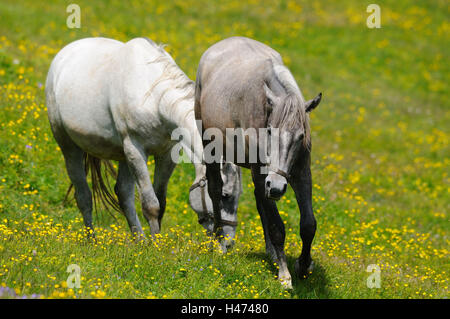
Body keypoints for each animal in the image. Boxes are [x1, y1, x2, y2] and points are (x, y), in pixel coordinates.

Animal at [45, 36, 241, 240]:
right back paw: (92, 240)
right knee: (83, 196)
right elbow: (151, 205)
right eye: (224, 195)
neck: (154, 97)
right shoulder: (136, 150)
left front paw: (157, 241)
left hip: (123, 155)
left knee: (123, 193)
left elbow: (160, 202)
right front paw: (155, 245)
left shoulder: (166, 154)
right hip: (69, 147)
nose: (228, 240)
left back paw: (139, 239)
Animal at [195, 36, 322, 288]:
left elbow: (308, 225)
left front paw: (303, 265)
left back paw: (271, 253)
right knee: (215, 189)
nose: (277, 187)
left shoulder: (302, 174)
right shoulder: (262, 174)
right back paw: (219, 241)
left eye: (301, 136)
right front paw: (285, 275)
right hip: (210, 146)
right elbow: (277, 227)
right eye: (270, 131)